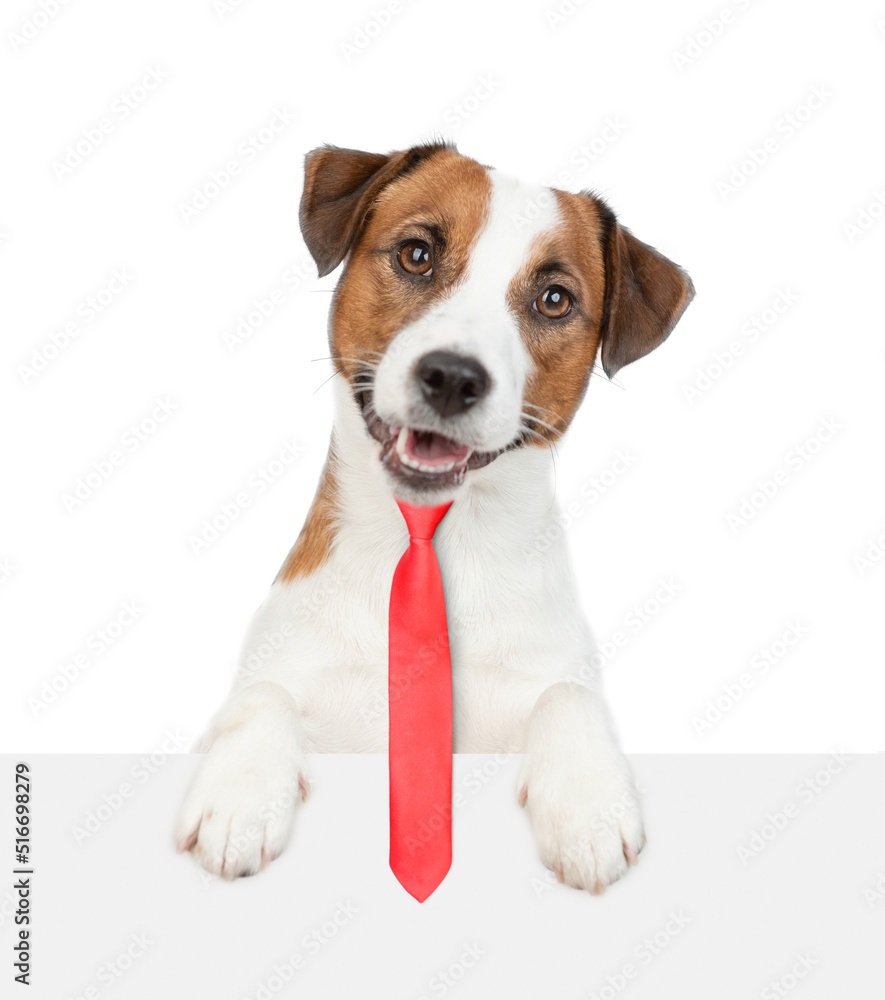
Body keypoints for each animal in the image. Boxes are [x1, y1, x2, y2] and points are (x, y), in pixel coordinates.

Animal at [176, 139, 696, 892]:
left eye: (554, 299)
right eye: (417, 254)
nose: (452, 376)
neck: (429, 536)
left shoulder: (551, 674)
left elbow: (567, 695)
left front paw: (588, 803)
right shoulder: (280, 671)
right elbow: (259, 695)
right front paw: (239, 792)